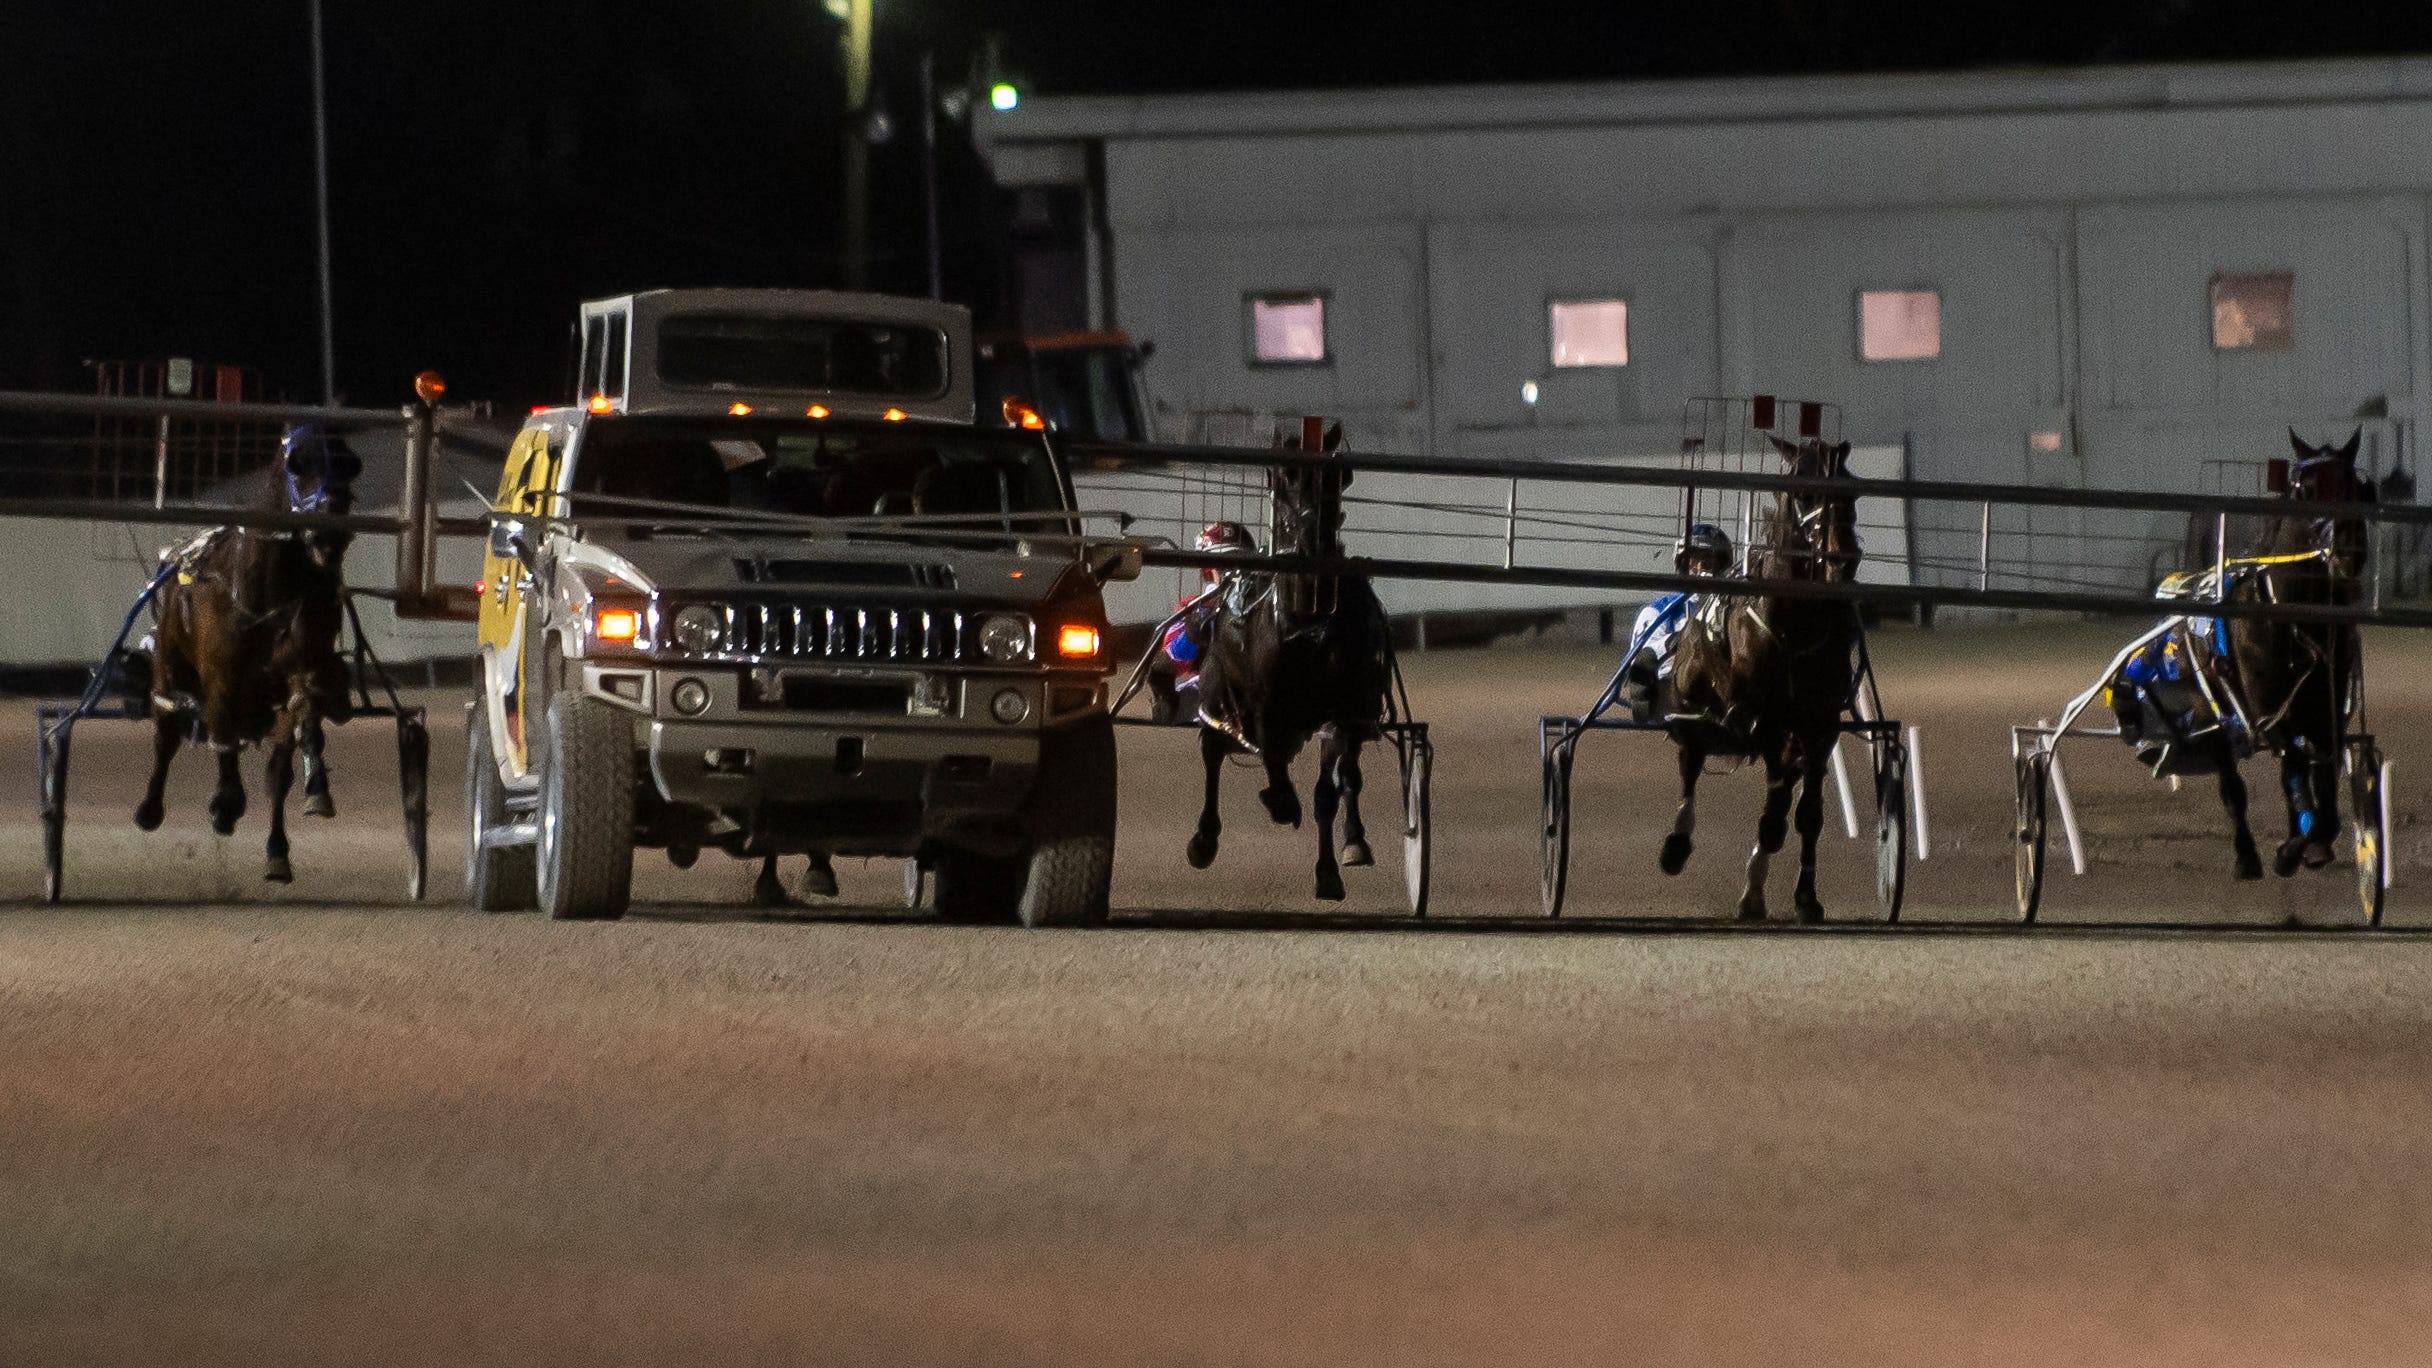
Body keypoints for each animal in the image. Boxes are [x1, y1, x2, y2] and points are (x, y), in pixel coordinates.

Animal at [136, 421, 359, 876]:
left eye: (351, 465)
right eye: (298, 464)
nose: (331, 531)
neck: (267, 590)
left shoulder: (300, 668)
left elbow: (286, 758)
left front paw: (285, 838)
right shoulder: (221, 673)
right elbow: (220, 732)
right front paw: (226, 801)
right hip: (168, 663)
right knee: (166, 730)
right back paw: (151, 806)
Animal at [1177, 421, 1391, 900]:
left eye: (1338, 475)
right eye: (1279, 475)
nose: (1310, 540)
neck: (1306, 625)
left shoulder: (1343, 713)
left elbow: (1330, 791)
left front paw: (1332, 867)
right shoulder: (1261, 706)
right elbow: (1269, 755)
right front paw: (1279, 802)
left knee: (1344, 779)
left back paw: (1351, 842)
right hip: (1216, 689)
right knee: (1212, 750)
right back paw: (1204, 837)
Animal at [1663, 430, 1867, 915]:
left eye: (1851, 490)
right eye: (1803, 492)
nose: (1843, 558)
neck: (1797, 620)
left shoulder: (1819, 725)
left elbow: (1807, 816)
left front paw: (1806, 897)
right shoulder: (1768, 718)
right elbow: (1773, 818)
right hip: (1691, 705)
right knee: (1690, 762)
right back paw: (1677, 843)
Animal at [2208, 421, 2373, 876]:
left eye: (2355, 486)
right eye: (2305, 488)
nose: (2348, 548)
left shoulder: (2327, 709)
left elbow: (2324, 779)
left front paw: (2312, 842)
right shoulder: (2268, 712)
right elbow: (2295, 769)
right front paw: (2288, 851)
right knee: (2232, 785)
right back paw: (2246, 856)